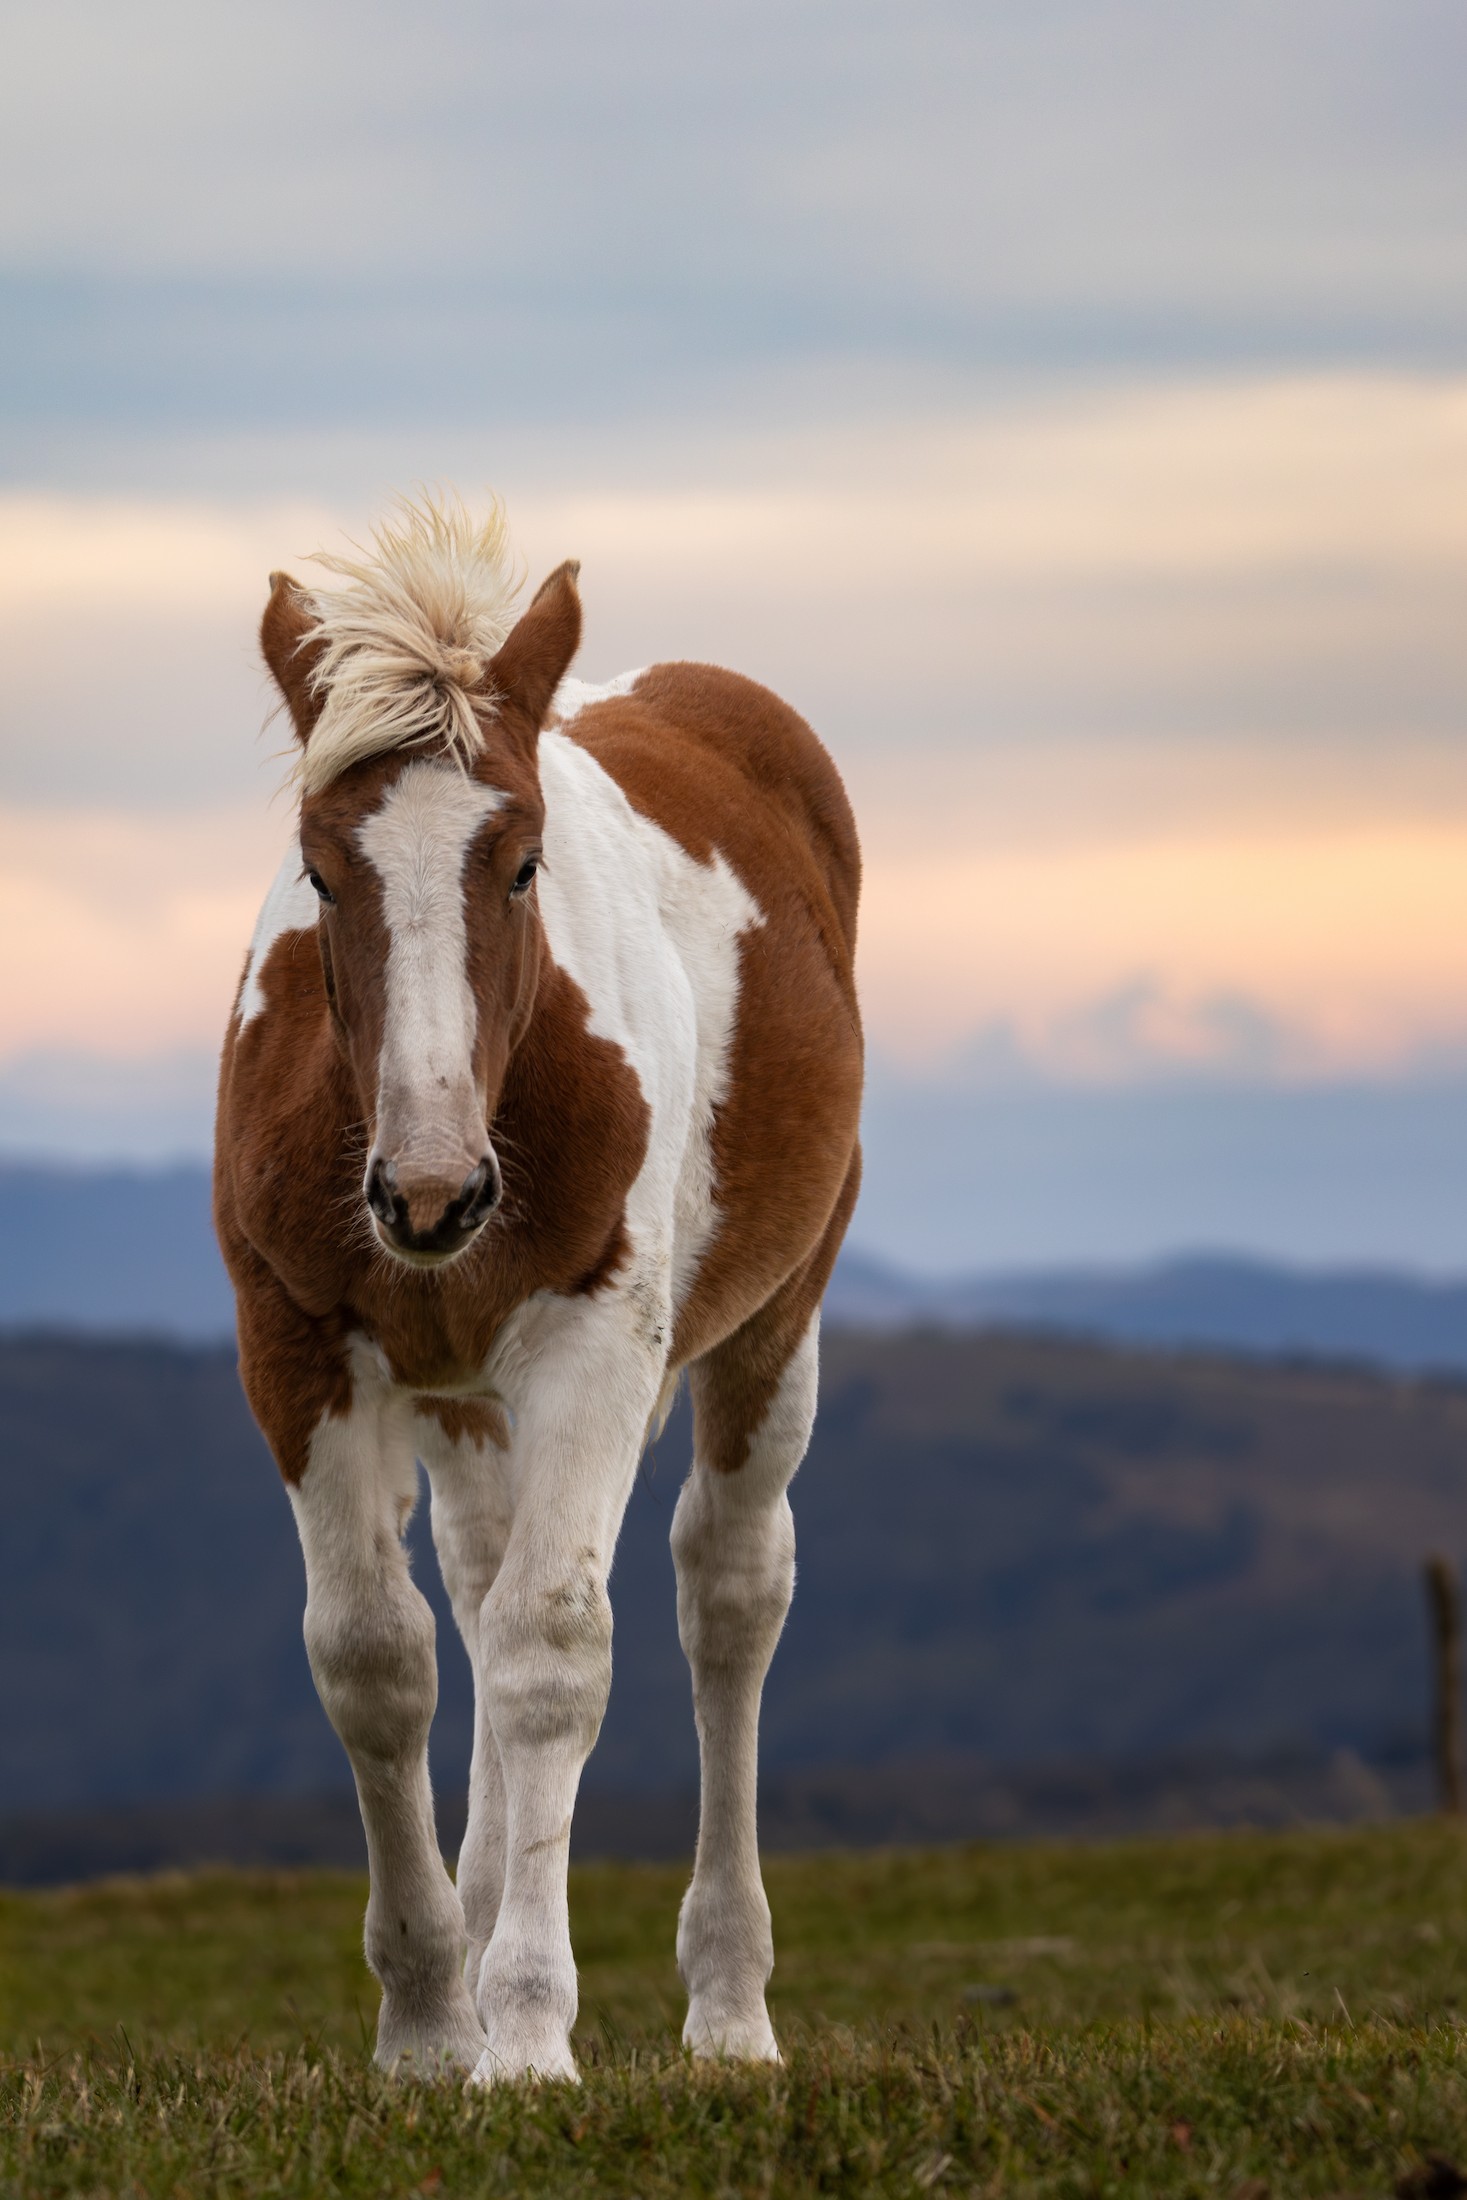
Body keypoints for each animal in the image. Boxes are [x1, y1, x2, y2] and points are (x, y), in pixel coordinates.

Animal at [214, 494, 863, 2085]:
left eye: (519, 864)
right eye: (320, 870)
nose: (429, 1192)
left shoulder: (593, 1344)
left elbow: (552, 1655)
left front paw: (521, 2036)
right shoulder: (293, 1346)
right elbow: (379, 1661)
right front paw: (425, 2026)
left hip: (774, 1324)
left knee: (726, 1596)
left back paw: (730, 2010)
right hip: (464, 1397)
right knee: (482, 1578)